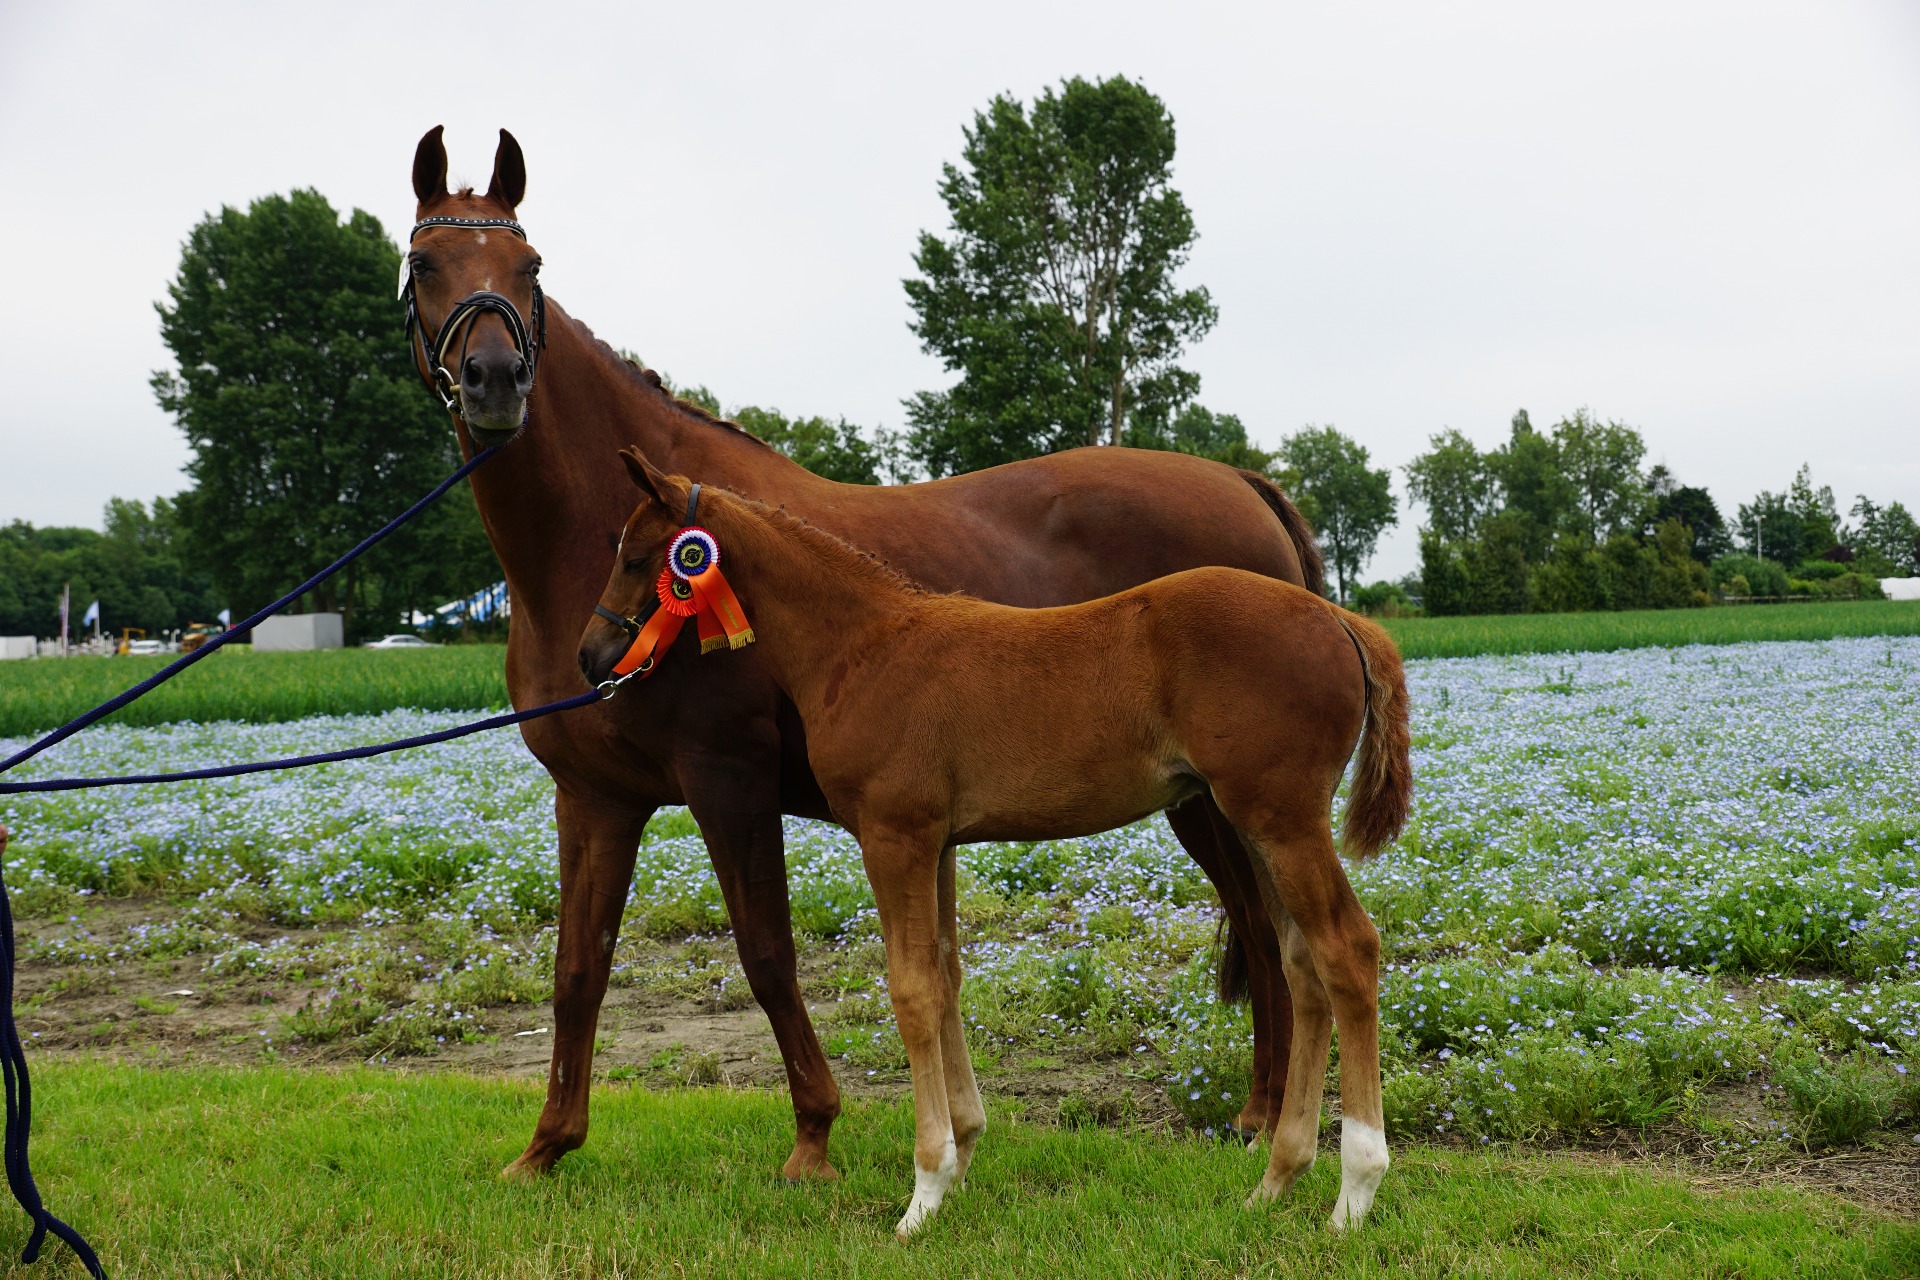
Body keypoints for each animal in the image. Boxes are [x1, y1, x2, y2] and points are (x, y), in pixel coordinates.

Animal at [579, 454, 1413, 1235]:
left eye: (637, 556)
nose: (590, 657)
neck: (864, 647)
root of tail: (1342, 620)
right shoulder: (939, 843)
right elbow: (946, 978)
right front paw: (963, 1155)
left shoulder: (894, 837)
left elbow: (912, 991)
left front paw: (922, 1193)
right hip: (1256, 823)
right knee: (1303, 963)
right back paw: (1276, 1180)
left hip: (1282, 820)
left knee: (1348, 950)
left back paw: (1355, 1192)